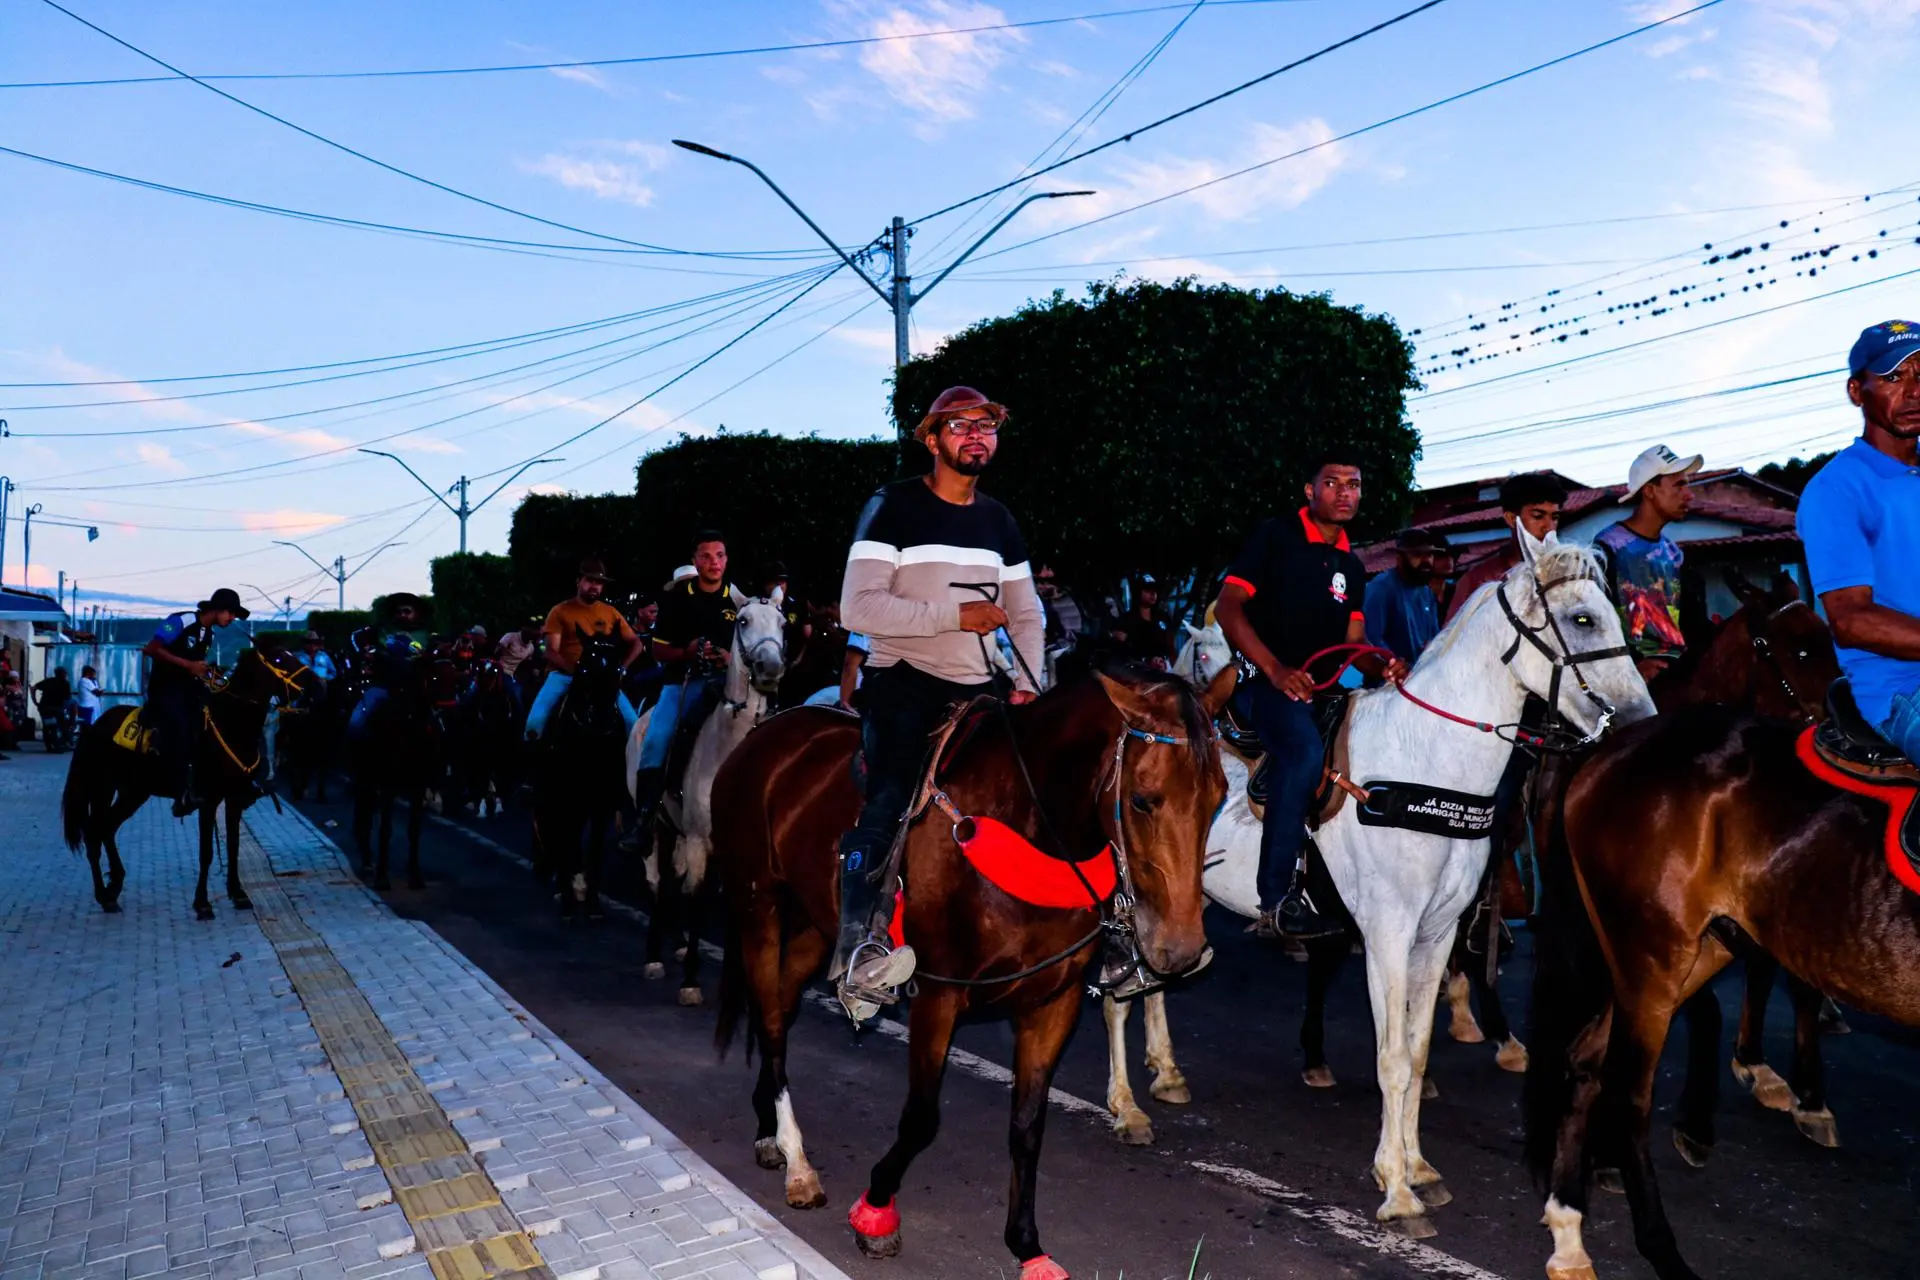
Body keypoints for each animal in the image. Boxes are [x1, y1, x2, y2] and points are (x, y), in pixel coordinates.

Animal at [61, 647, 317, 920]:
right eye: (279, 659)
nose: (318, 685)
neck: (231, 724)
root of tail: (95, 726)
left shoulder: (234, 798)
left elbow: (234, 846)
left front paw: (238, 893)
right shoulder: (208, 800)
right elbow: (206, 853)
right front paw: (202, 903)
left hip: (134, 791)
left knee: (107, 828)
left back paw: (113, 887)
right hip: (102, 787)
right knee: (94, 833)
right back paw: (103, 894)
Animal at [349, 656, 459, 892]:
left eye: (455, 677)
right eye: (434, 677)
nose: (451, 715)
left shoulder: (418, 787)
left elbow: (414, 830)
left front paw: (415, 874)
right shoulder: (388, 787)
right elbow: (385, 829)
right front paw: (382, 876)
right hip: (365, 778)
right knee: (363, 816)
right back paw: (367, 861)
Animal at [529, 632, 630, 919]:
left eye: (618, 670)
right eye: (584, 668)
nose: (602, 718)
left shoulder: (601, 804)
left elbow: (593, 850)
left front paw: (592, 903)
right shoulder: (567, 799)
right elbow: (566, 839)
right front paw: (567, 902)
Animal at [645, 589, 788, 1004]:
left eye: (782, 622)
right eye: (742, 621)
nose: (770, 667)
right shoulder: (697, 841)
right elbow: (697, 901)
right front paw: (691, 981)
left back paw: (676, 945)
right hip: (658, 827)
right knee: (658, 882)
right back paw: (655, 955)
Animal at [713, 663, 1233, 1275]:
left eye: (1220, 796)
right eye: (1144, 800)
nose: (1181, 948)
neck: (1030, 828)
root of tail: (767, 731)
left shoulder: (1050, 1004)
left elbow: (1028, 1124)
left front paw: (1027, 1243)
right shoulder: (940, 996)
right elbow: (921, 1118)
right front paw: (875, 1213)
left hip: (819, 925)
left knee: (781, 999)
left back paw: (768, 1129)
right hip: (759, 903)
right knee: (770, 1017)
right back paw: (797, 1161)